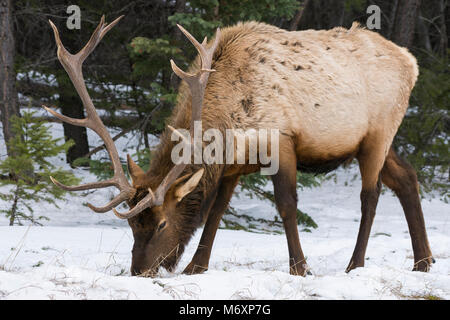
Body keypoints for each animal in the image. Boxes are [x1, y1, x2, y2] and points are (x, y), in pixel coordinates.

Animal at [44, 16, 434, 278]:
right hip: (373, 141)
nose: (139, 270)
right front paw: (196, 266)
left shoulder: (282, 141)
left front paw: (300, 267)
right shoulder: (232, 166)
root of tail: (412, 62)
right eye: (132, 226)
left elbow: (286, 205)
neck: (228, 122)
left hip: (379, 132)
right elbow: (216, 211)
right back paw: (423, 261)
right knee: (407, 177)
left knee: (371, 194)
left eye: (161, 224)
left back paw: (356, 263)